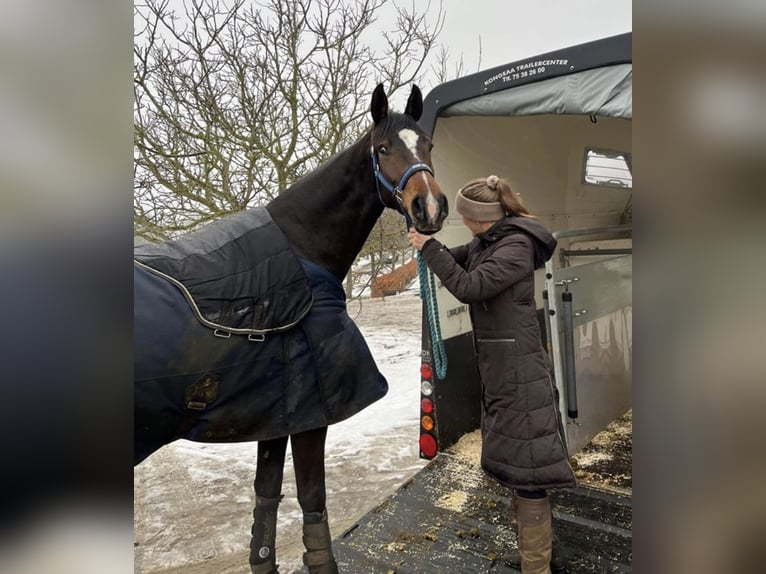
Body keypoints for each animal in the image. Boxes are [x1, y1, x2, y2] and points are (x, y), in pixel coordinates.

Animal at [135, 85, 448, 574]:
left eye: (428, 145)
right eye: (382, 148)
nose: (429, 208)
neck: (302, 250)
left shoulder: (276, 413)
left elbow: (266, 501)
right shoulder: (311, 415)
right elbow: (312, 504)